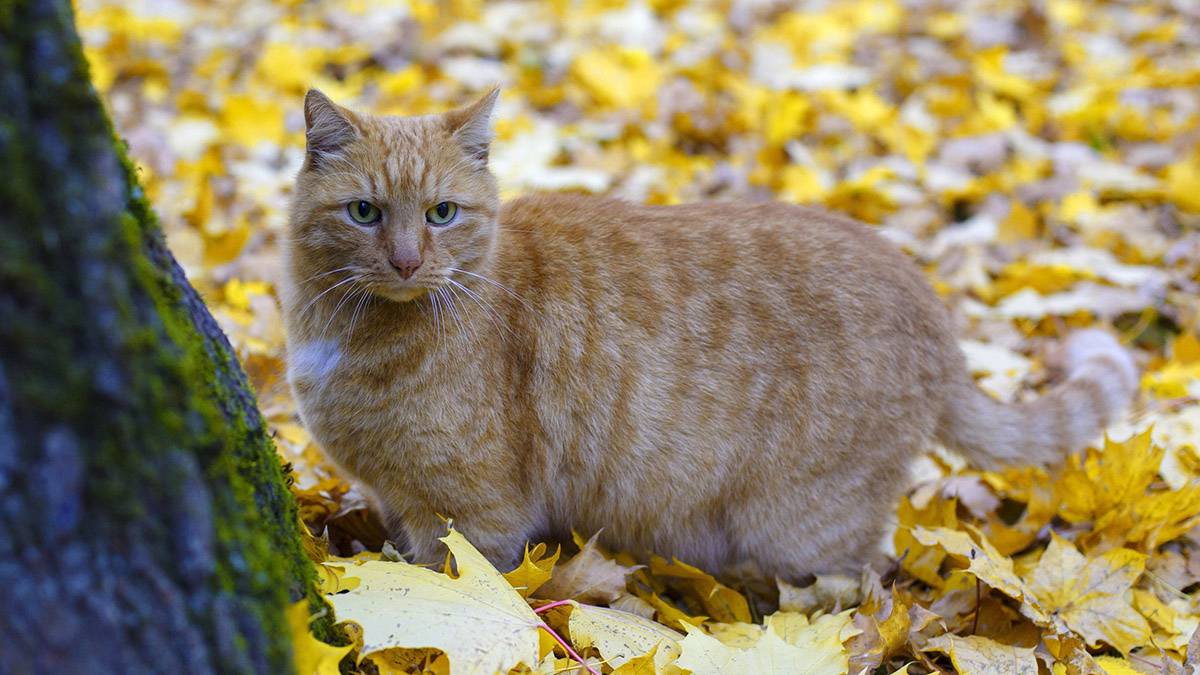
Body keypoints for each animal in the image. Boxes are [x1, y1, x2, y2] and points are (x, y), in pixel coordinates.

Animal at [280, 86, 1132, 576]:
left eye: (442, 213)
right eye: (365, 212)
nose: (406, 259)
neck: (346, 329)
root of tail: (932, 308)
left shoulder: (471, 513)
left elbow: (458, 584)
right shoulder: (395, 496)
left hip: (800, 525)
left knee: (863, 582)